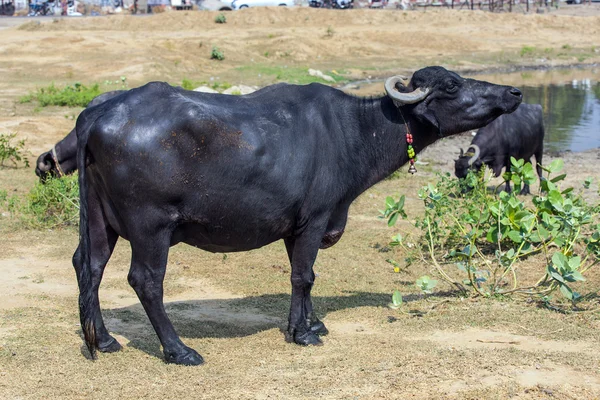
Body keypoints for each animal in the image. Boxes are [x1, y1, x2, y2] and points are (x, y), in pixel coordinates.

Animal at [71, 66, 520, 366]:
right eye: (452, 85)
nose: (514, 92)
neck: (355, 130)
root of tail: (99, 115)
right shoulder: (316, 218)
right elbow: (303, 275)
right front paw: (302, 333)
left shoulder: (295, 226)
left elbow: (306, 277)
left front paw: (312, 322)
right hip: (152, 226)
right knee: (145, 281)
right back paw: (179, 350)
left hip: (99, 218)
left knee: (88, 265)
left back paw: (104, 340)